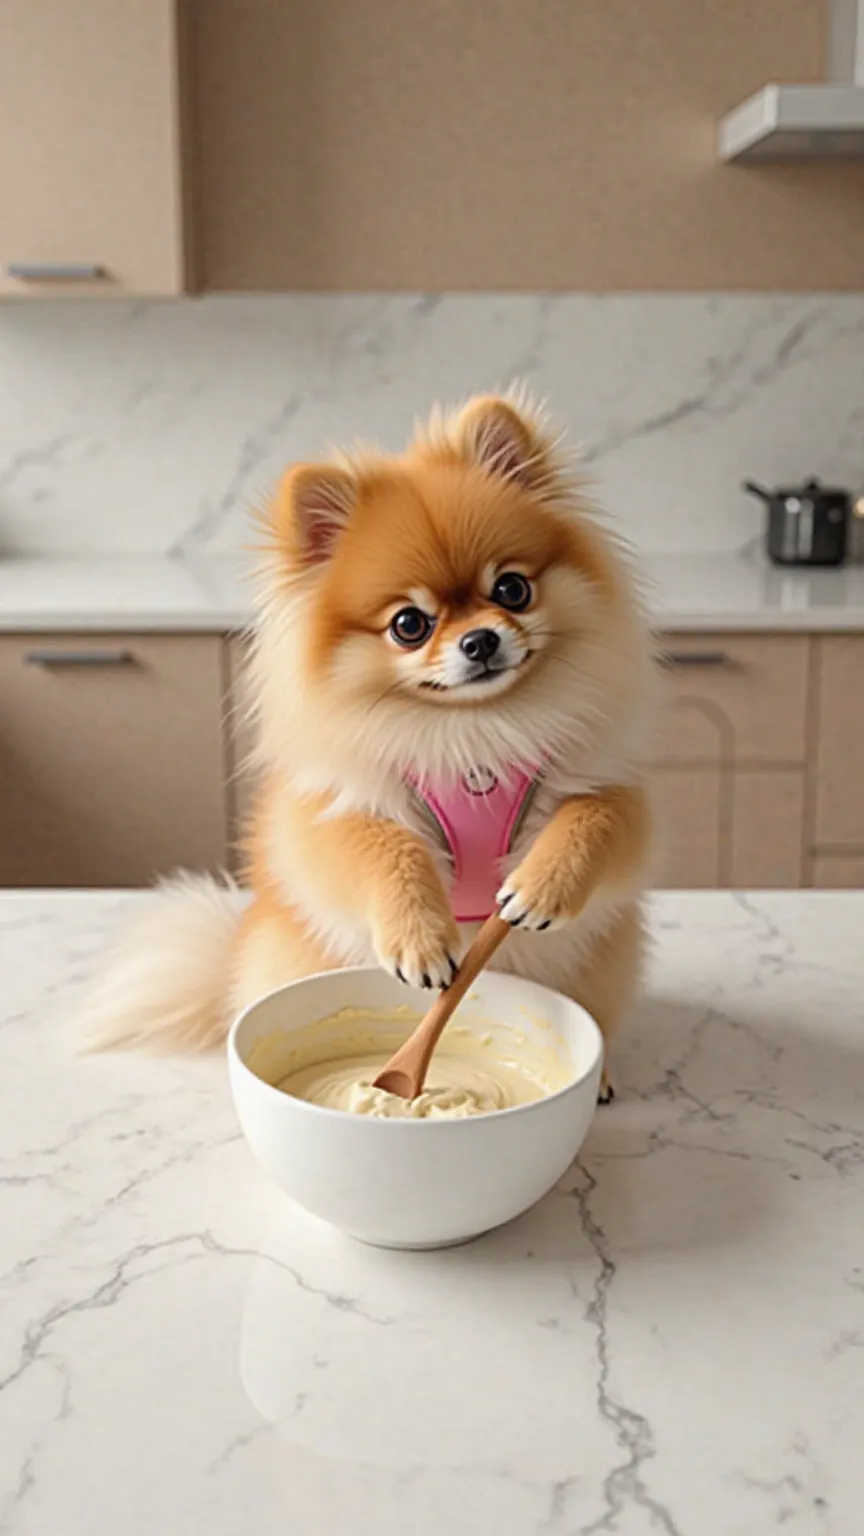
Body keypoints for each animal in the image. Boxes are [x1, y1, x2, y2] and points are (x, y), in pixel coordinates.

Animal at [84, 390, 654, 1099]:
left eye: (512, 589)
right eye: (410, 625)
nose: (481, 641)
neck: (471, 733)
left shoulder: (608, 784)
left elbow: (597, 818)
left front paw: (539, 886)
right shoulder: (335, 809)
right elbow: (381, 850)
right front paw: (420, 941)